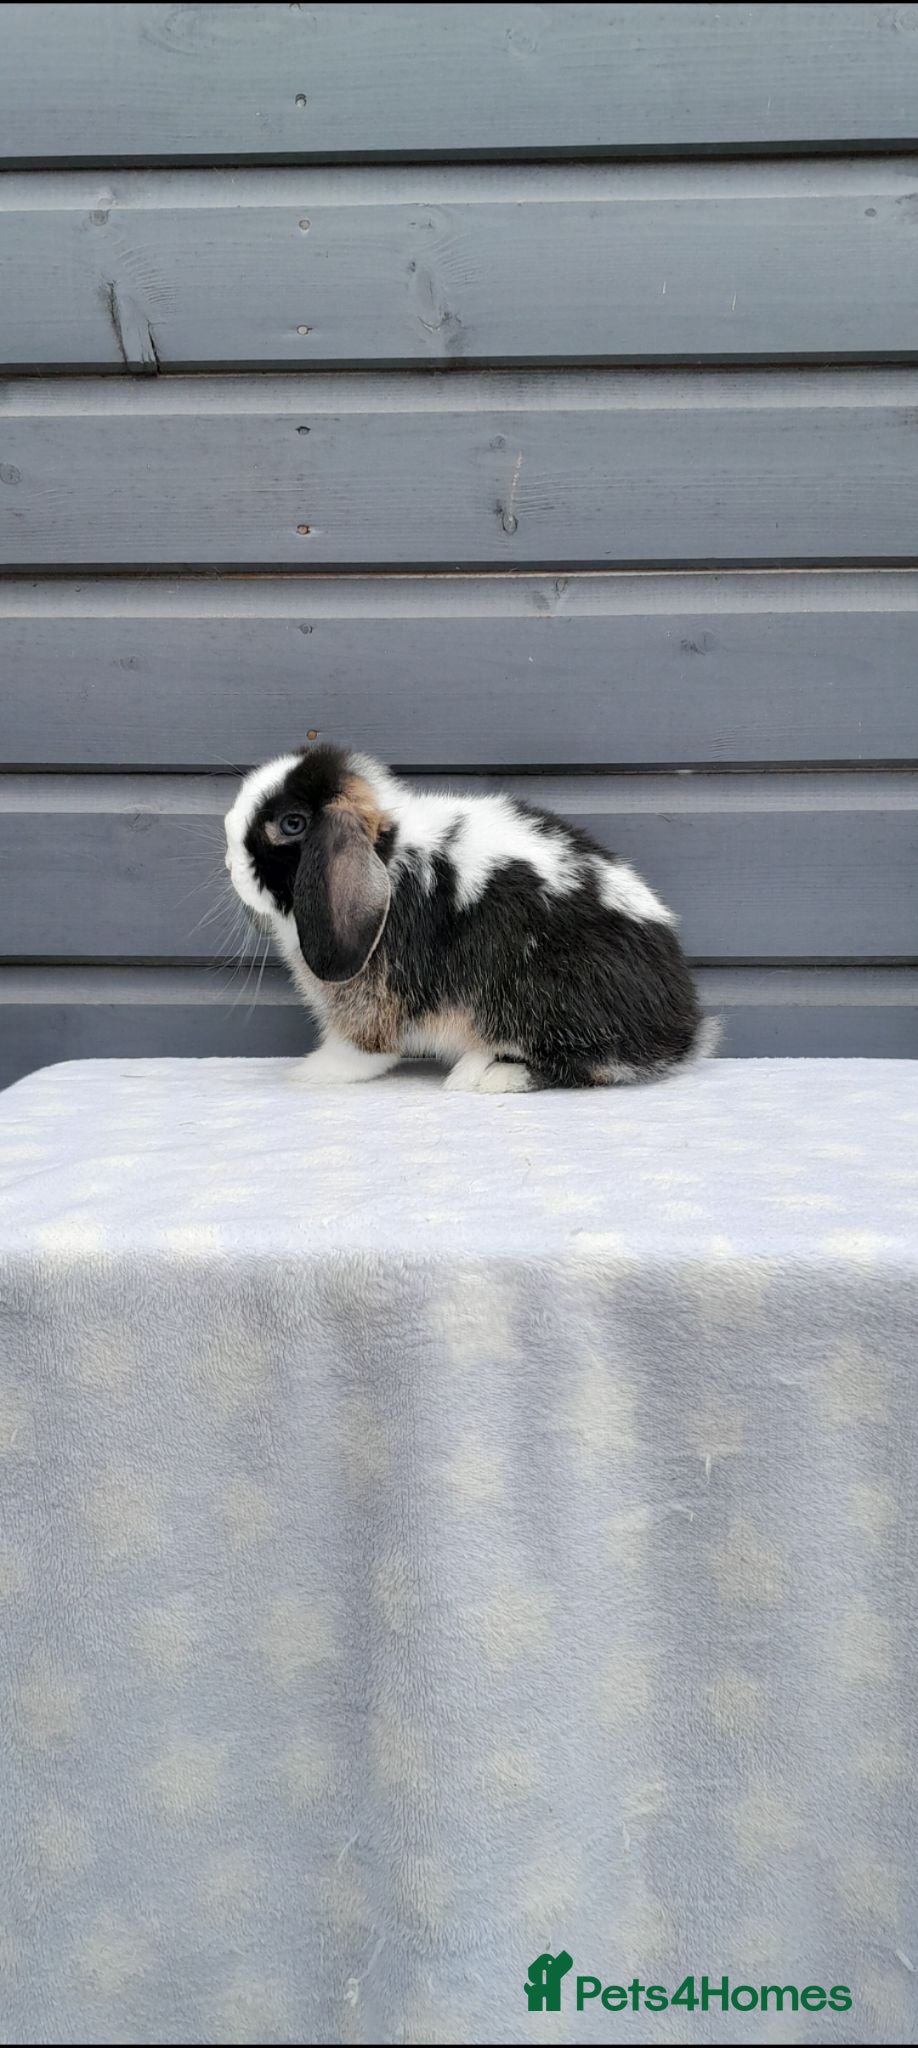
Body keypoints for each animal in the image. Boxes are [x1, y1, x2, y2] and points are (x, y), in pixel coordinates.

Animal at [224, 744, 716, 1091]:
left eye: (291, 824)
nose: (229, 864)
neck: (386, 854)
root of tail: (685, 1030)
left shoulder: (373, 997)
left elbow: (362, 1046)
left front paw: (314, 1071)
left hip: (541, 994)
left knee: (589, 1062)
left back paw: (485, 1073)